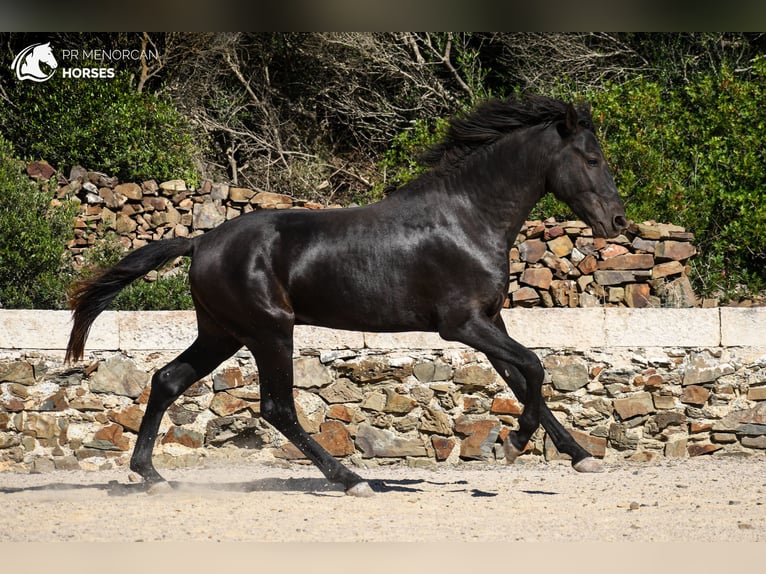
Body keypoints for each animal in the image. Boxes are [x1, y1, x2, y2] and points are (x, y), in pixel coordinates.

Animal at [67, 93, 632, 496]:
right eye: (592, 158)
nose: (618, 222)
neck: (468, 218)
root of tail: (201, 241)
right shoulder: (462, 324)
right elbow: (533, 367)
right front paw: (515, 441)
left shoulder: (490, 322)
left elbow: (522, 377)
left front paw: (578, 455)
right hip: (270, 331)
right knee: (277, 408)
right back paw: (352, 480)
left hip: (224, 333)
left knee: (166, 380)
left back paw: (150, 475)